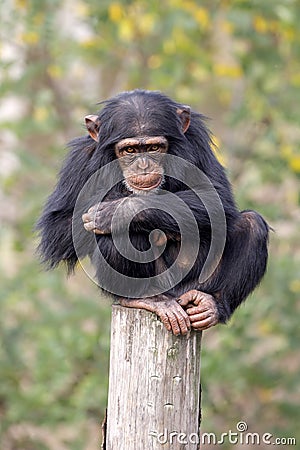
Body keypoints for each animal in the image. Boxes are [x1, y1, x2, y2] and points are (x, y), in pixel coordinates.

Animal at [36, 89, 268, 336]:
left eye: (154, 148)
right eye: (130, 150)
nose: (143, 165)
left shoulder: (196, 139)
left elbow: (216, 197)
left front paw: (119, 210)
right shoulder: (81, 157)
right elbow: (58, 227)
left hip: (194, 285)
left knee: (251, 224)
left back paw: (212, 303)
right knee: (117, 235)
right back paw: (145, 299)